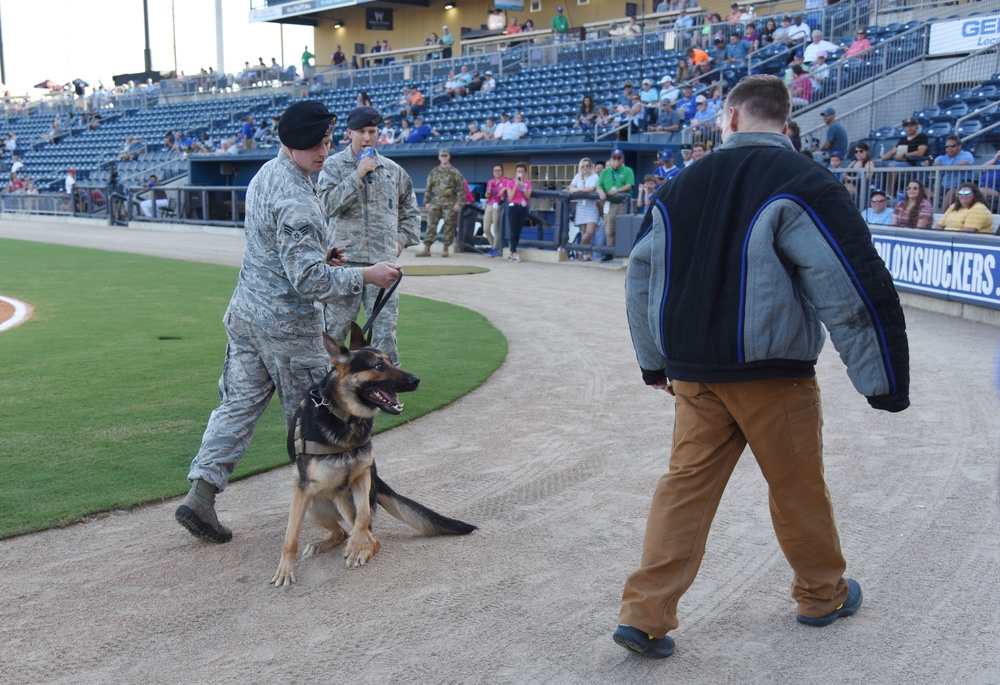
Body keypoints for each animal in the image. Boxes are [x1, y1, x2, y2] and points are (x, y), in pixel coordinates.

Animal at [272, 326, 474, 588]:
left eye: (390, 361)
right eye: (379, 366)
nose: (416, 380)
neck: (347, 419)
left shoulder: (362, 476)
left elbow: (364, 518)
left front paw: (357, 547)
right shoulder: (303, 490)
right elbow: (290, 538)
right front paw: (285, 570)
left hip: (346, 499)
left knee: (366, 535)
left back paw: (359, 549)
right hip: (310, 506)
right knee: (340, 532)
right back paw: (322, 544)